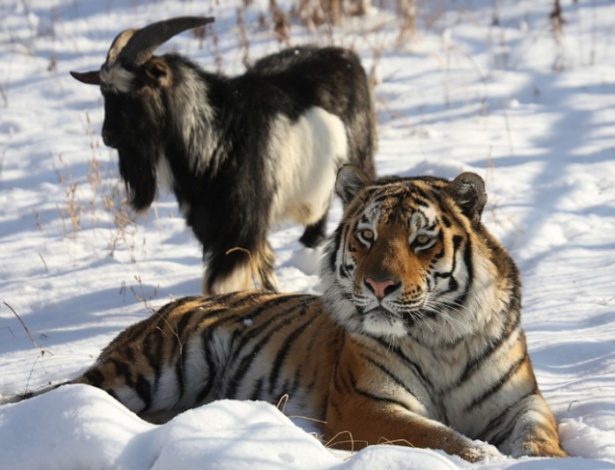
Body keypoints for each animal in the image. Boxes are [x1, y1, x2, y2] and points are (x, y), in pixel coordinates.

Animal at [1, 165, 568, 462]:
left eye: (421, 239)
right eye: (367, 236)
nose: (378, 285)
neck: (440, 335)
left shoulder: (520, 400)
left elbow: (539, 434)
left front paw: (550, 461)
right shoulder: (364, 405)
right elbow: (441, 437)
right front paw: (485, 457)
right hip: (148, 369)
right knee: (74, 395)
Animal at [70, 16, 378, 296]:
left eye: (139, 87)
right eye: (104, 92)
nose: (107, 135)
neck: (218, 135)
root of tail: (345, 56)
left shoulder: (242, 223)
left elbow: (221, 283)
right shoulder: (213, 225)